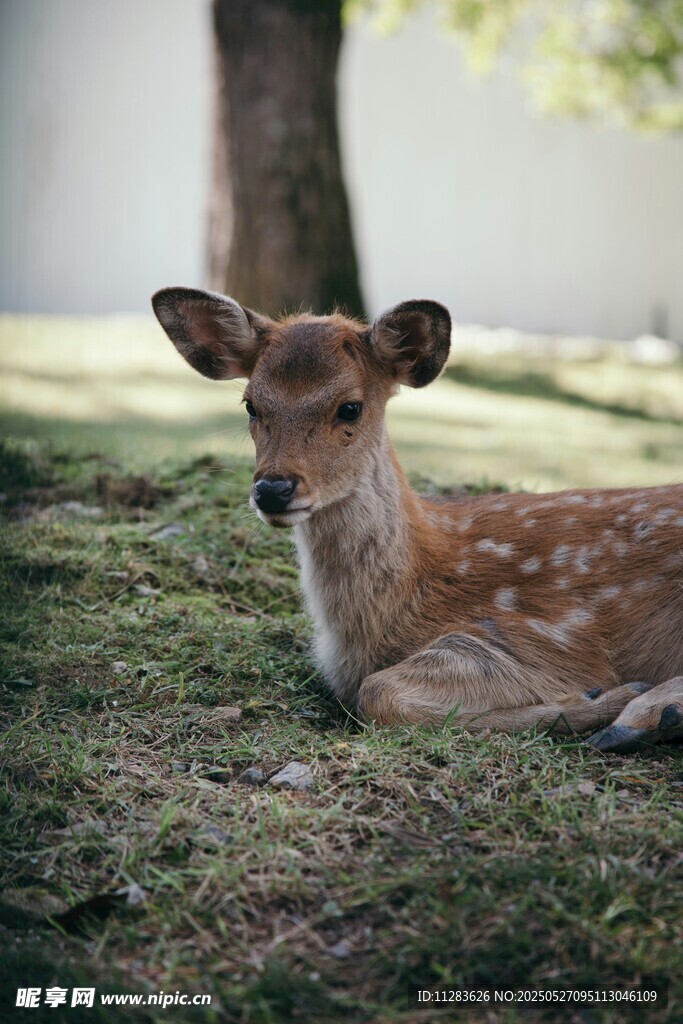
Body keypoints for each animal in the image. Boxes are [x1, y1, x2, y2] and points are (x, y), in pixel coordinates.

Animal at [152, 287, 683, 754]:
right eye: (251, 404)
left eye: (350, 407)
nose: (273, 489)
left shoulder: (550, 639)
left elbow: (377, 692)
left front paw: (603, 697)